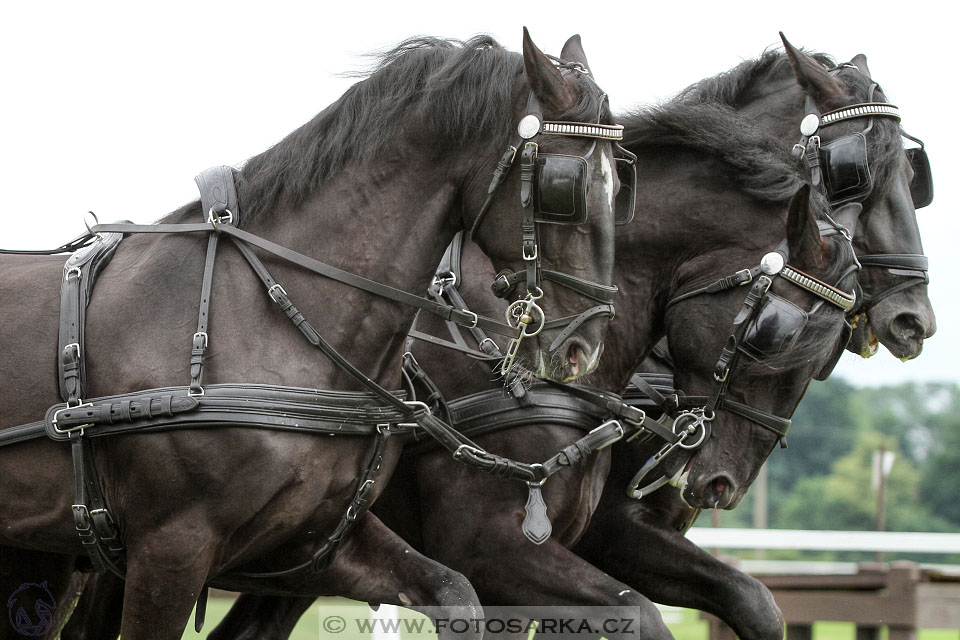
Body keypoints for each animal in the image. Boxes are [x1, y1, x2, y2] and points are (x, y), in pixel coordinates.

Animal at [0, 33, 624, 640]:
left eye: (622, 184)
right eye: (566, 186)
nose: (585, 347)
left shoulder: (312, 539)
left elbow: (457, 595)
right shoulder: (170, 548)